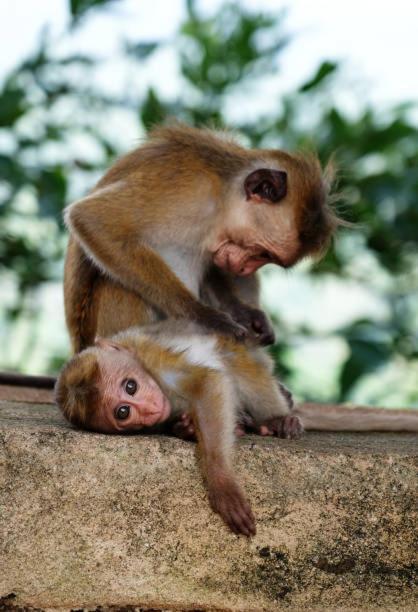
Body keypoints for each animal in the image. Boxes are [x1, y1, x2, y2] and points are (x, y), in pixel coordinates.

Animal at [57, 320, 302, 536]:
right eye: (123, 412)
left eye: (131, 386)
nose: (150, 409)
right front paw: (185, 428)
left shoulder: (156, 360)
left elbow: (205, 382)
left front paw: (221, 481)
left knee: (235, 362)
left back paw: (278, 419)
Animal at [62, 123, 336, 354]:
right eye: (262, 253)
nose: (245, 267)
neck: (221, 199)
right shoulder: (186, 188)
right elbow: (91, 218)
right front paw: (201, 315)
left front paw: (245, 313)